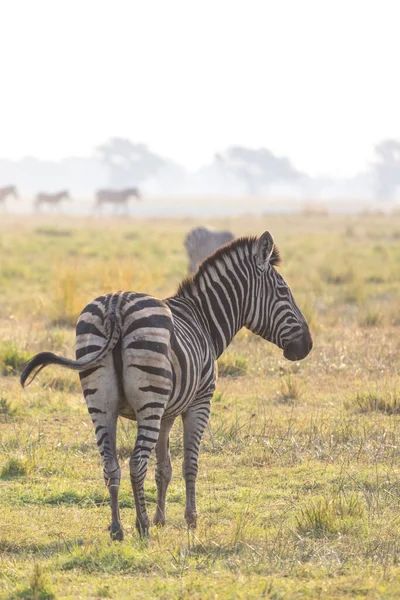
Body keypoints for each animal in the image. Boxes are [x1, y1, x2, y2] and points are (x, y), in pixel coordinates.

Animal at [20, 230, 312, 540]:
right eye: (283, 291)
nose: (307, 346)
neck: (203, 320)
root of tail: (115, 305)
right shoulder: (199, 402)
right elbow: (189, 464)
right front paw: (190, 520)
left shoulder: (167, 413)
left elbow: (164, 468)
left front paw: (162, 518)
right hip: (149, 401)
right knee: (136, 463)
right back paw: (142, 525)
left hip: (101, 403)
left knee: (111, 466)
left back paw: (117, 529)